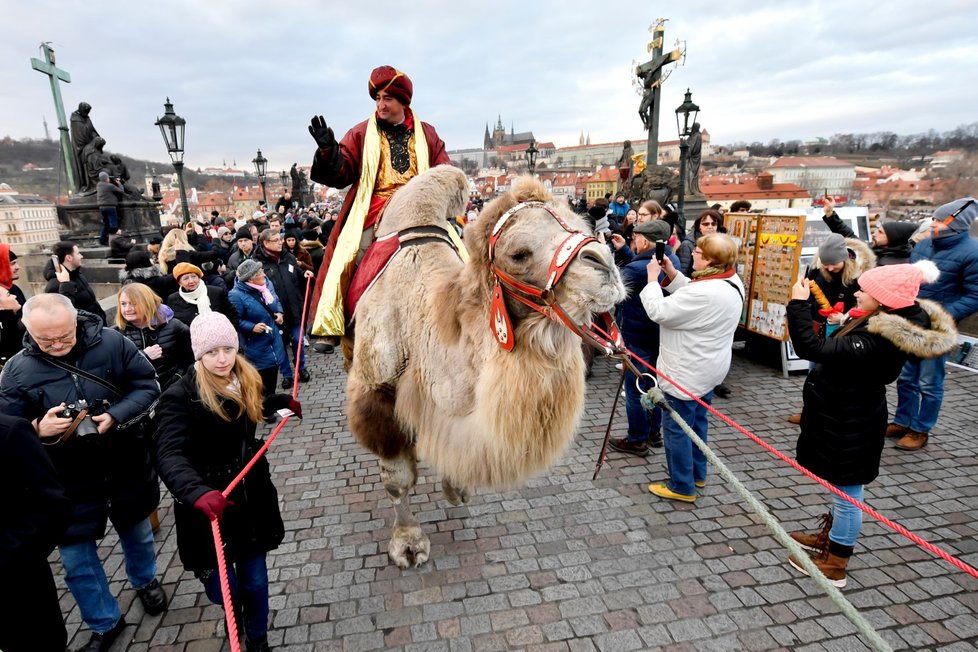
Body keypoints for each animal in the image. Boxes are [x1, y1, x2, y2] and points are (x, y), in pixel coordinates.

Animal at [346, 166, 624, 568]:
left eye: (581, 225)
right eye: (519, 253)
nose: (605, 264)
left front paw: (456, 489)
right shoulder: (376, 392)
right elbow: (397, 479)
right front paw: (408, 542)